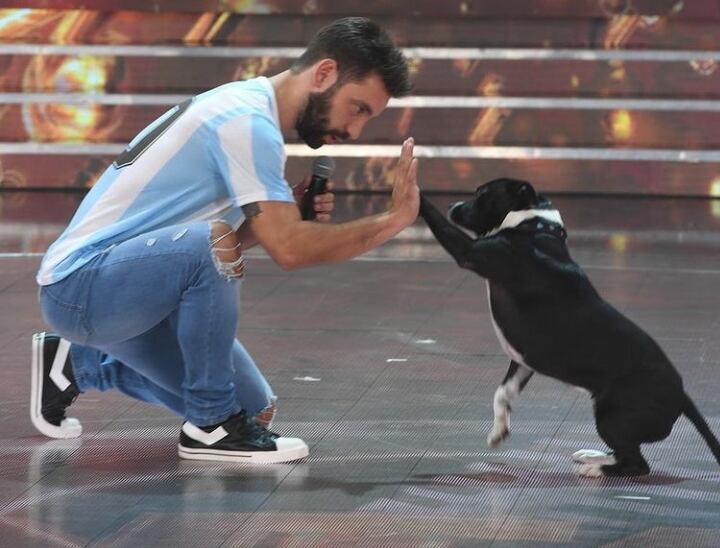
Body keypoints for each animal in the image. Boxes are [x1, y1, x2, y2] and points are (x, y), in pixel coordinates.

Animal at [420, 179, 720, 476]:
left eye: (482, 194)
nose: (452, 205)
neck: (534, 225)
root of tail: (682, 395)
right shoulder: (523, 362)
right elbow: (502, 393)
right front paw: (499, 430)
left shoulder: (469, 252)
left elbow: (436, 218)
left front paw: (414, 188)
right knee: (624, 453)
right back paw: (593, 456)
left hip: (612, 418)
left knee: (636, 464)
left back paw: (597, 470)